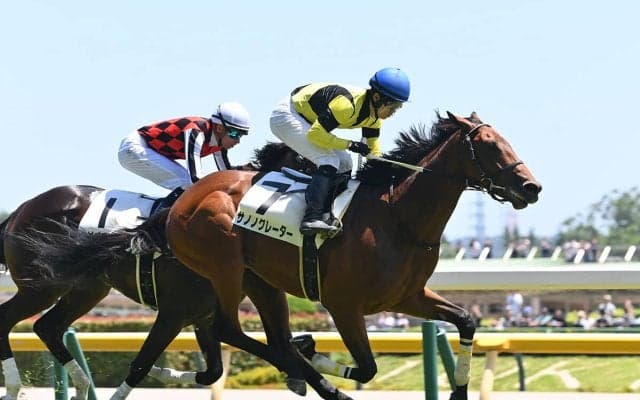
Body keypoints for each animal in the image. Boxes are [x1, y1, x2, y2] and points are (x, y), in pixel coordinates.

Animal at [0, 142, 318, 400]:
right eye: (306, 166)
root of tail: (21, 210)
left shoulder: (202, 316)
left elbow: (213, 371)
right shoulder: (173, 313)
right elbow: (141, 365)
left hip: (87, 289)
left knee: (47, 326)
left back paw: (78, 384)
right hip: (41, 287)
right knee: (9, 320)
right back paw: (15, 388)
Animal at [160, 111, 542, 400]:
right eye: (489, 144)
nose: (531, 187)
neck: (399, 219)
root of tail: (183, 199)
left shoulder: (406, 297)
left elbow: (466, 320)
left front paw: (458, 391)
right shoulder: (343, 305)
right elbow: (368, 367)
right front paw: (315, 355)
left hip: (260, 280)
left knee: (273, 337)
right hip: (225, 266)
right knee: (228, 328)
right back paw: (316, 376)